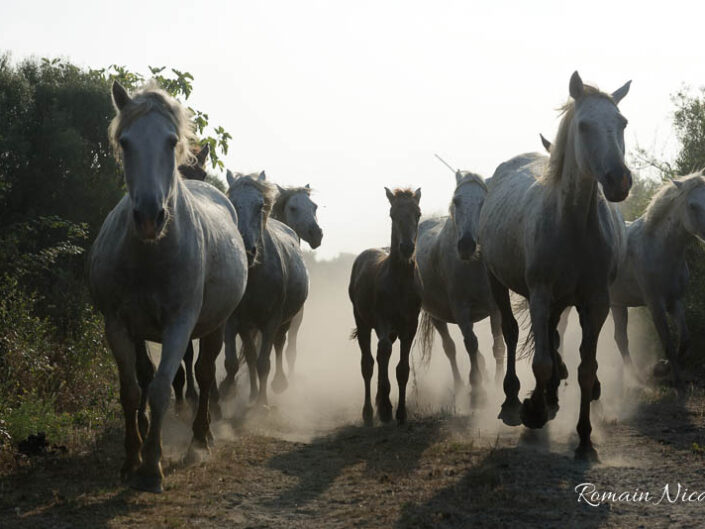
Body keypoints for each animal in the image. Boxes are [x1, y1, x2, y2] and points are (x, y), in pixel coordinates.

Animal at [88, 81, 248, 490]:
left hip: (215, 326)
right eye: (125, 141)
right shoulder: (118, 326)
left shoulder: (180, 325)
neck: (150, 254)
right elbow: (131, 391)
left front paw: (152, 466)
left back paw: (200, 440)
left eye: (171, 140)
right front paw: (132, 458)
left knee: (205, 375)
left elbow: (162, 387)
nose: (149, 217)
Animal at [220, 171, 308, 402]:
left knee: (278, 345)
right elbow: (236, 362)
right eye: (231, 203)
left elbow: (264, 363)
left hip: (285, 320)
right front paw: (228, 390)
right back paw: (251, 394)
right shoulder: (236, 321)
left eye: (260, 206)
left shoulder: (271, 321)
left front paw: (263, 403)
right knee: (251, 356)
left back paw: (279, 383)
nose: (247, 251)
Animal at [346, 186, 418, 424]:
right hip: (362, 322)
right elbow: (382, 352)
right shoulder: (382, 321)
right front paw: (385, 408)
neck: (400, 281)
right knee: (369, 362)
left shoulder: (410, 325)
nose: (407, 247)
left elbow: (402, 368)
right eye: (393, 215)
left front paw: (401, 413)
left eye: (418, 214)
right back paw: (369, 412)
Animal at [416, 169, 504, 404]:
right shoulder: (460, 309)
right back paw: (460, 385)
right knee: (451, 348)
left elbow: (498, 346)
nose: (466, 245)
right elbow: (470, 344)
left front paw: (499, 384)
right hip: (437, 316)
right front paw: (477, 390)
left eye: (484, 201)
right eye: (456, 201)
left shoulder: (496, 308)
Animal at [478, 72, 632, 460]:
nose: (619, 180)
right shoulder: (540, 294)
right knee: (512, 332)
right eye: (585, 126)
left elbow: (586, 369)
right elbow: (542, 361)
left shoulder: (596, 302)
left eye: (622, 123)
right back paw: (514, 400)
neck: (572, 224)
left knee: (552, 336)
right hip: (497, 281)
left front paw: (585, 438)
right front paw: (534, 411)